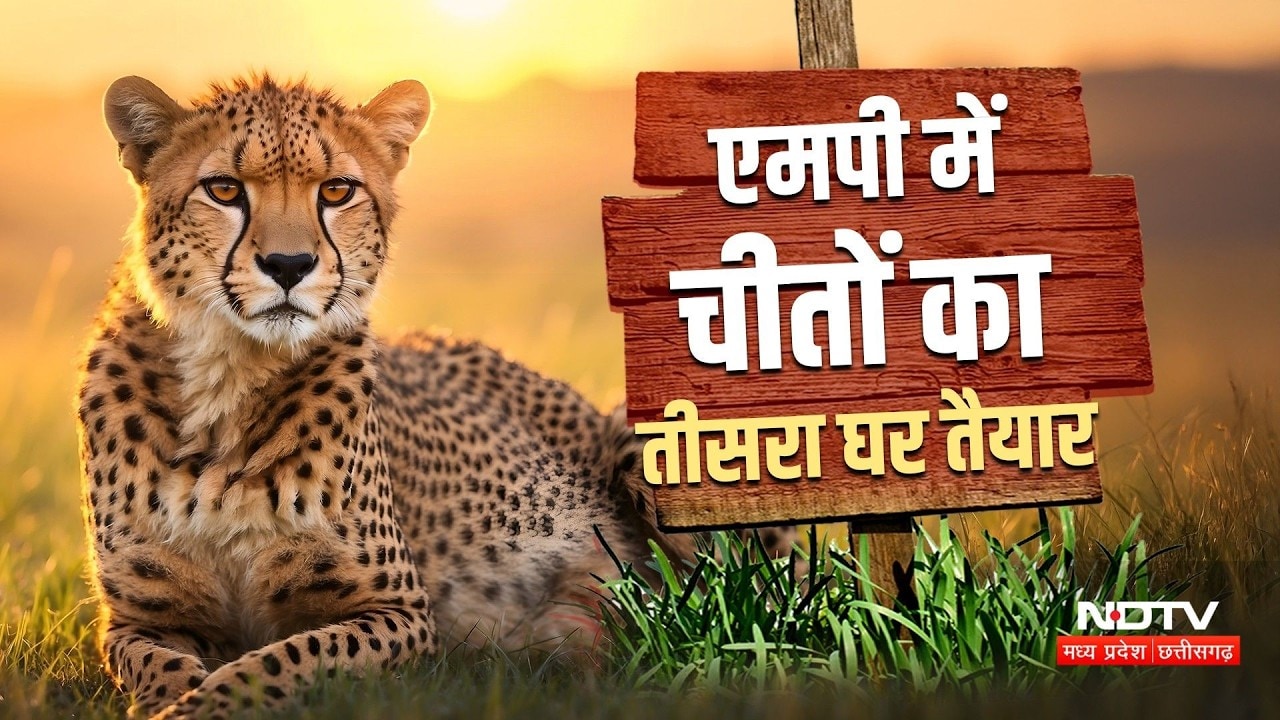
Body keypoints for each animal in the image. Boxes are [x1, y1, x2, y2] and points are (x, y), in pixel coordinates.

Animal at [76, 73, 731, 720]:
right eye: (223, 189)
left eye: (336, 191)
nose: (288, 264)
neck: (229, 380)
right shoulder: (133, 620)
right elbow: (155, 664)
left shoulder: (403, 613)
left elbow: (278, 662)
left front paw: (199, 705)